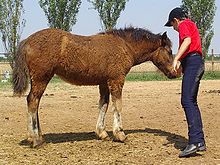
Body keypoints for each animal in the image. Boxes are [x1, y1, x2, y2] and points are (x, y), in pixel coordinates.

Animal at [12, 27, 179, 148]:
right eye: (170, 51)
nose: (176, 72)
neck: (124, 46)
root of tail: (27, 40)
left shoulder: (103, 82)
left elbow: (103, 105)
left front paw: (102, 133)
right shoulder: (116, 80)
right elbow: (117, 105)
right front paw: (120, 134)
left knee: (34, 102)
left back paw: (36, 136)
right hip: (41, 78)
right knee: (33, 101)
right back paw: (36, 140)